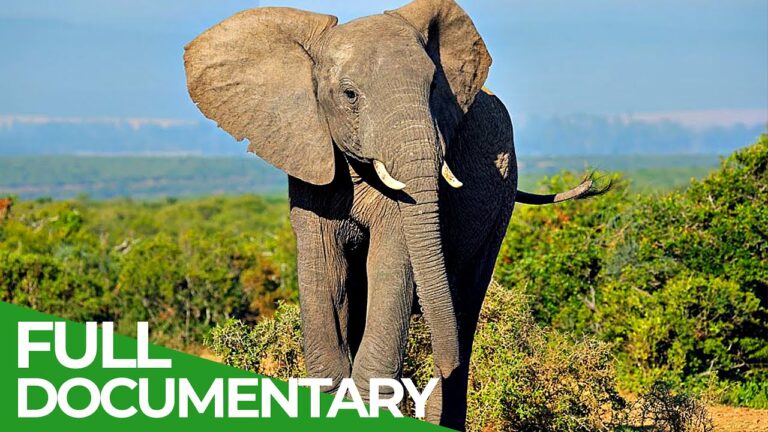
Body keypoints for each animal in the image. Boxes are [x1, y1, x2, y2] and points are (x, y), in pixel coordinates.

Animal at [184, 0, 605, 429]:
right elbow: (326, 271)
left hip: (502, 197)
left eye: (434, 88)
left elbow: (390, 264)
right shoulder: (309, 159)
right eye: (350, 95)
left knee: (466, 303)